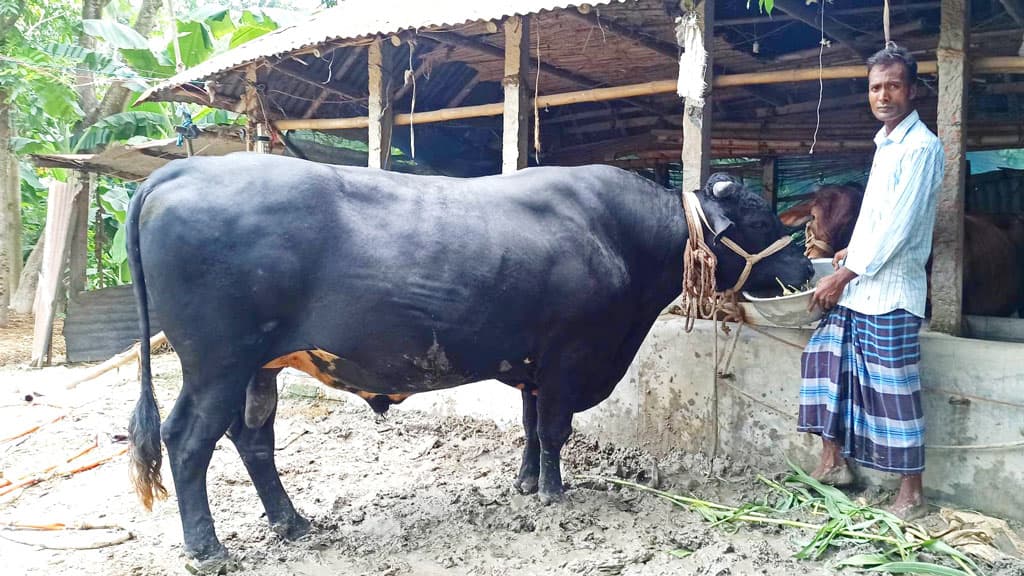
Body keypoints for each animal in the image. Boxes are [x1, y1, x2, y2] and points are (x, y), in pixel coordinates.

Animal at [128, 152, 811, 561]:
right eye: (757, 213)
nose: (806, 267)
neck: (619, 236)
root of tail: (183, 170)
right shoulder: (570, 354)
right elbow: (556, 429)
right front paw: (555, 495)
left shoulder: (535, 364)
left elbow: (533, 428)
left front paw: (527, 483)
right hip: (216, 362)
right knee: (187, 440)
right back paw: (208, 548)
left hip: (257, 368)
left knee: (253, 440)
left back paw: (292, 522)